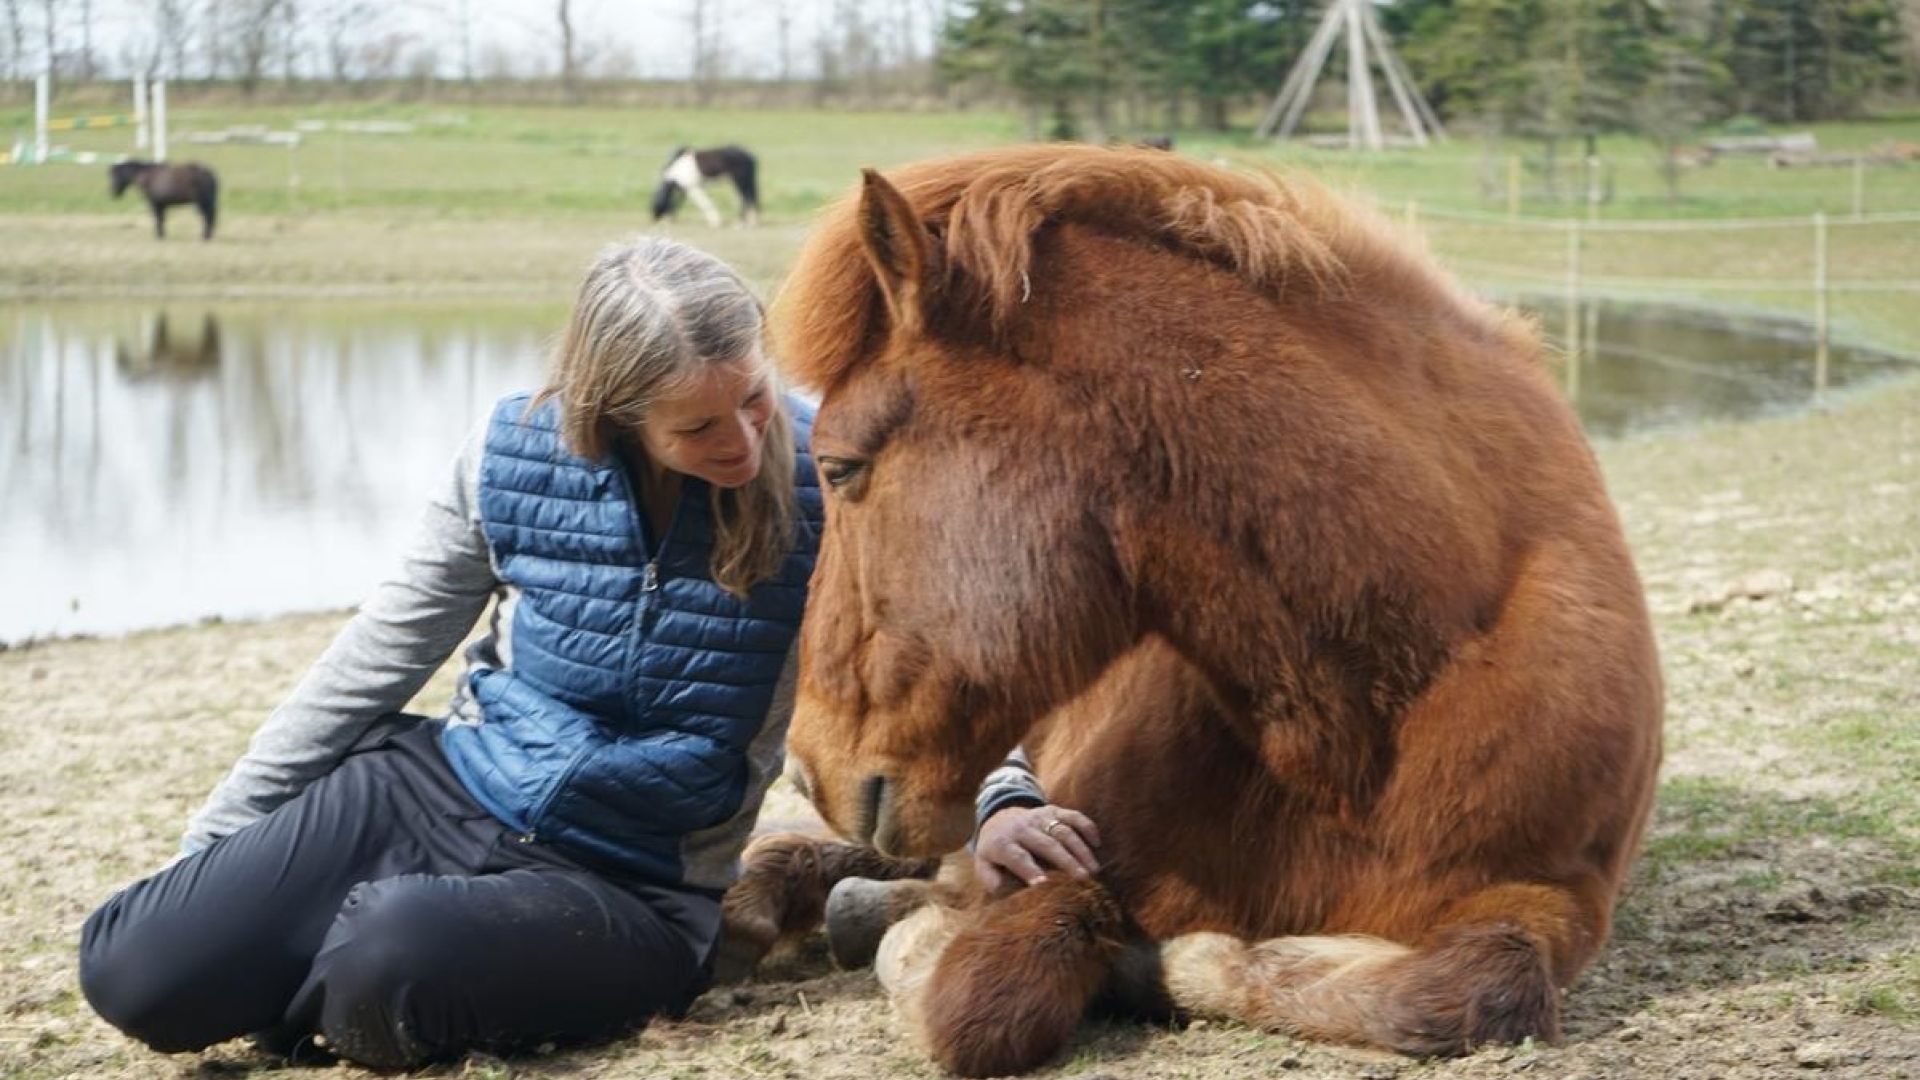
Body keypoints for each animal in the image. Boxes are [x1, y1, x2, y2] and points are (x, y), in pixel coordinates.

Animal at [721, 145, 1666, 1076]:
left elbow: (1469, 988)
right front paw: (919, 936)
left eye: (838, 466)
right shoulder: (1076, 848)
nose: (808, 765)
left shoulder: (1554, 897)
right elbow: (985, 993)